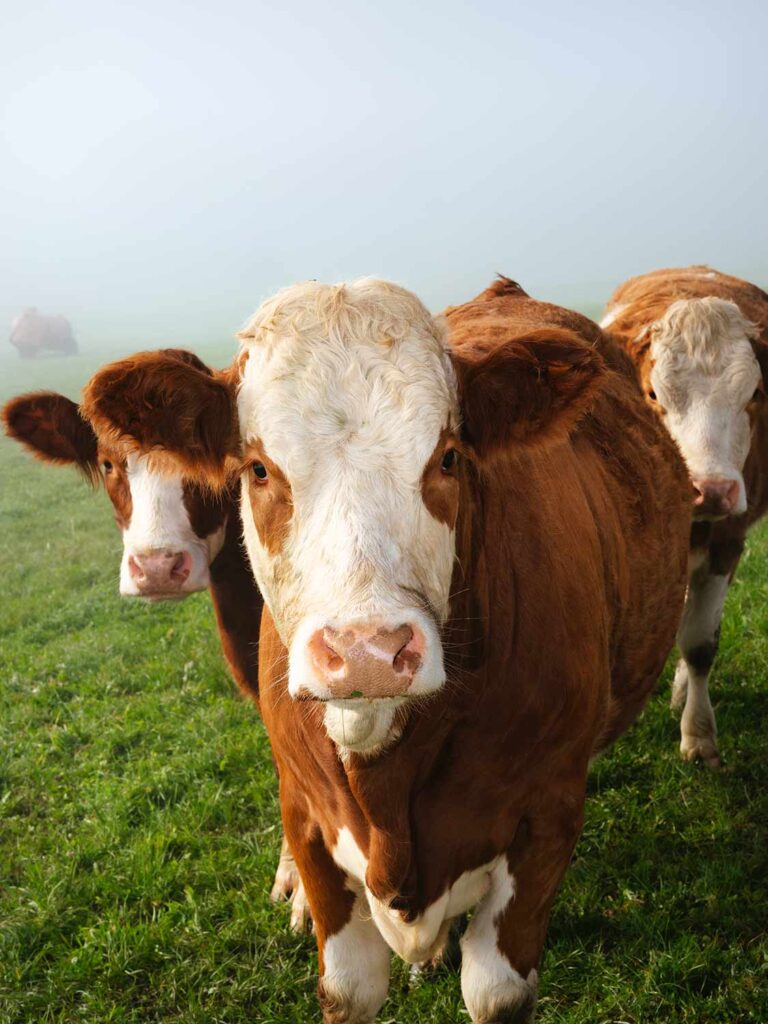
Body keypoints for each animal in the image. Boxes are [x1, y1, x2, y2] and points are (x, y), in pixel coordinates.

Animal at [84, 277, 691, 1023]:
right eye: (258, 468)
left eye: (449, 457)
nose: (368, 650)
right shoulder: (308, 823)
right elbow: (348, 987)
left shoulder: (547, 817)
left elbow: (495, 993)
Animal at [601, 266, 768, 768]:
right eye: (653, 393)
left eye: (755, 393)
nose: (710, 490)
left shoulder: (727, 543)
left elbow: (699, 643)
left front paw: (698, 735)